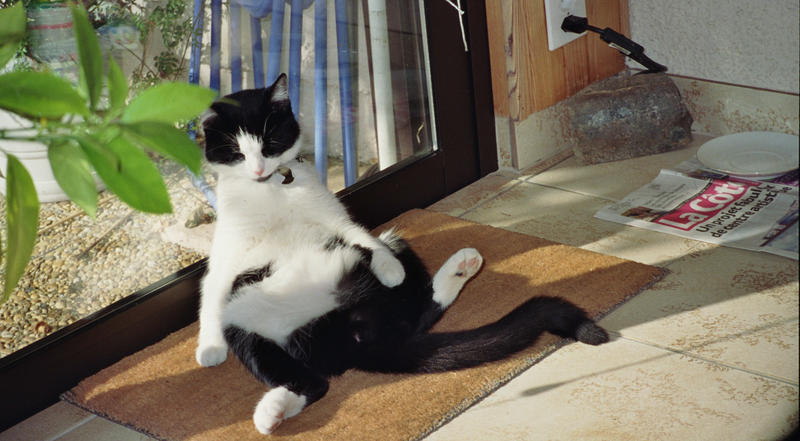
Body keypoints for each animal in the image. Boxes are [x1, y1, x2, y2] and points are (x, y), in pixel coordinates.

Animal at [196, 74, 610, 435]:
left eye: (269, 142)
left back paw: (458, 268)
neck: (271, 192)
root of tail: (353, 337)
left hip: (394, 243)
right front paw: (209, 350)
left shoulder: (336, 217)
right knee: (314, 381)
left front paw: (389, 269)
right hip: (248, 328)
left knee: (411, 311)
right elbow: (211, 291)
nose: (258, 169)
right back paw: (272, 412)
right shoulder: (227, 254)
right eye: (236, 153)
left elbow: (363, 238)